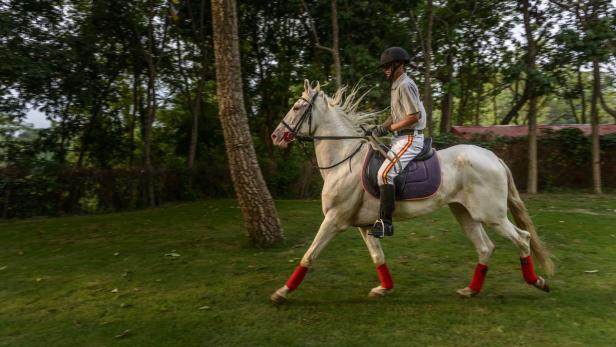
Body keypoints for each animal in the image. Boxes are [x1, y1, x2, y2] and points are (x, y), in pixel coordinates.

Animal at [270, 80, 552, 304]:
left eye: (297, 107)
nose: (275, 136)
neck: (343, 159)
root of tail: (494, 157)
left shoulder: (334, 220)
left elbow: (309, 256)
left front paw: (282, 292)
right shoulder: (363, 225)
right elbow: (377, 256)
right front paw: (384, 288)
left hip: (491, 215)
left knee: (522, 238)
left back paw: (537, 281)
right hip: (464, 213)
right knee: (485, 247)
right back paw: (470, 290)